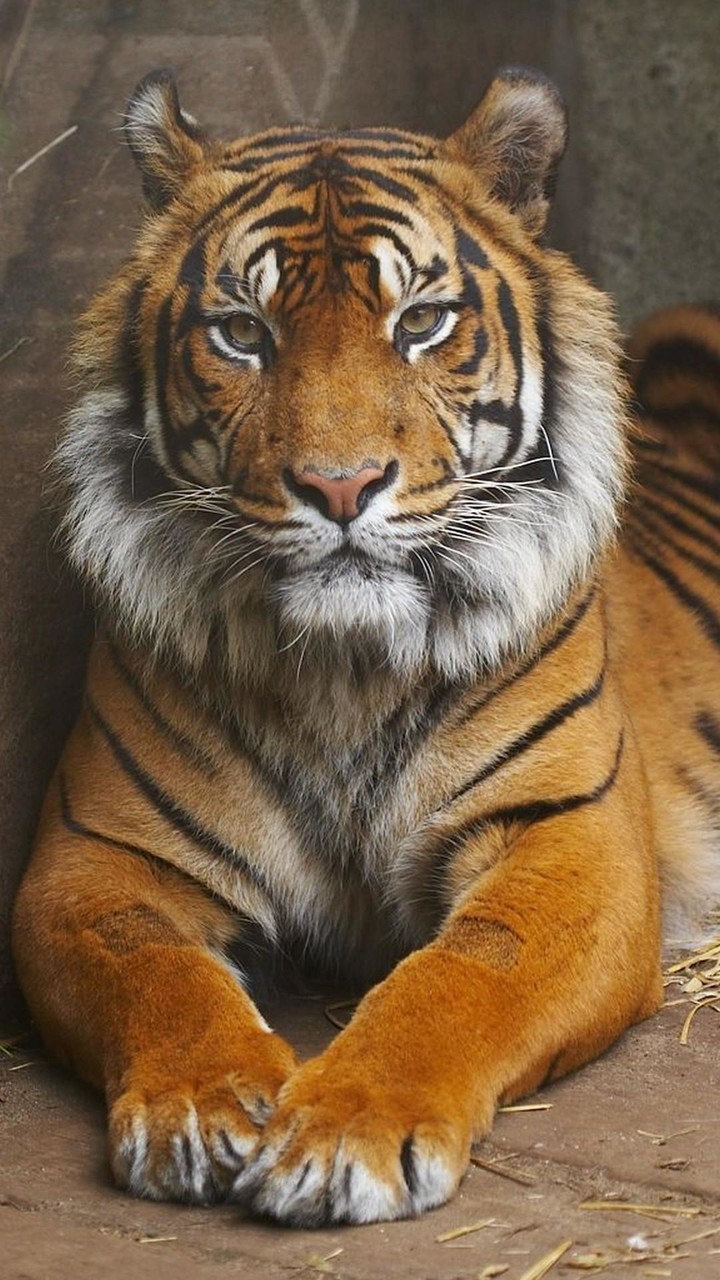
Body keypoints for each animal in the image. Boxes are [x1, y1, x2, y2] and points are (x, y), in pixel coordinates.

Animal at [11, 64, 720, 1227]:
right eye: (242, 331)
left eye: (421, 321)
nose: (339, 487)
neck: (343, 667)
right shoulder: (94, 855)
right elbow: (156, 968)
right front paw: (203, 1102)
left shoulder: (571, 832)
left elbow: (465, 970)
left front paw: (345, 1130)